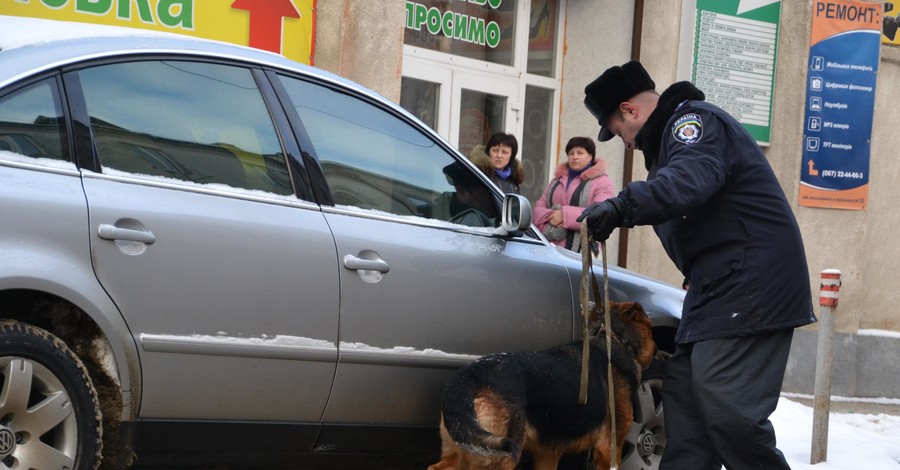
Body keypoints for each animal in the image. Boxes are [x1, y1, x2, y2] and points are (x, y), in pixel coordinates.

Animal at [428, 302, 652, 470]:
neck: (613, 339)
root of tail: (466, 377)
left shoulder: (548, 453)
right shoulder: (609, 449)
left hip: (462, 448)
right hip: (499, 455)